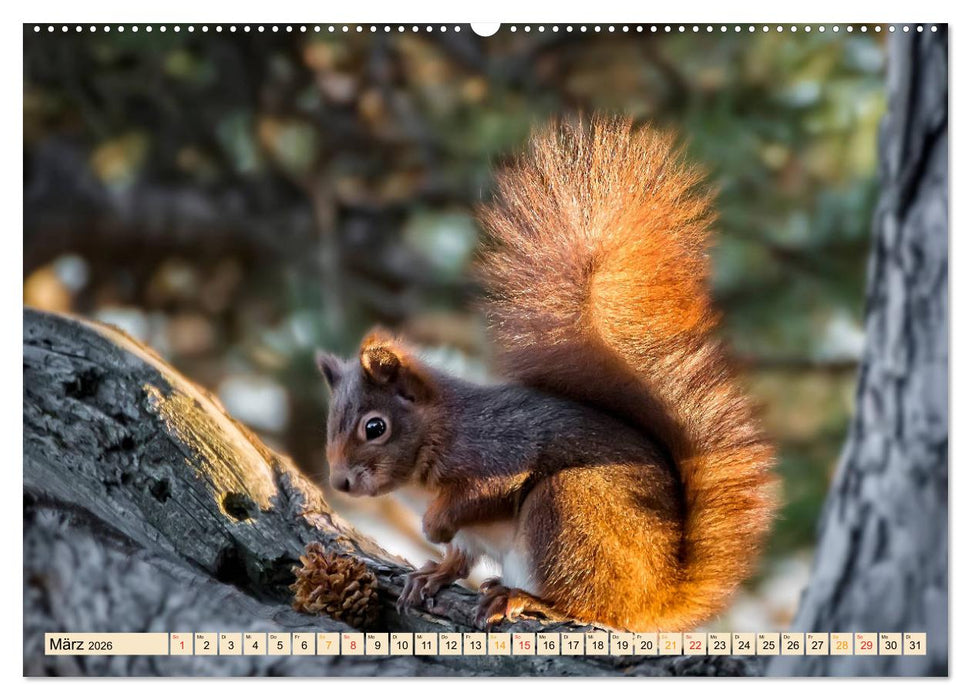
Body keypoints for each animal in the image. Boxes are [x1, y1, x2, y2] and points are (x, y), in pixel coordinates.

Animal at [315, 115, 778, 632]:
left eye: (375, 427)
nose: (340, 483)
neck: (438, 433)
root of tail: (659, 599)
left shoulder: (495, 451)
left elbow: (481, 494)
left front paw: (433, 527)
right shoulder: (471, 534)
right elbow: (460, 555)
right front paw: (432, 573)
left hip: (567, 509)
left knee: (588, 602)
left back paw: (527, 599)